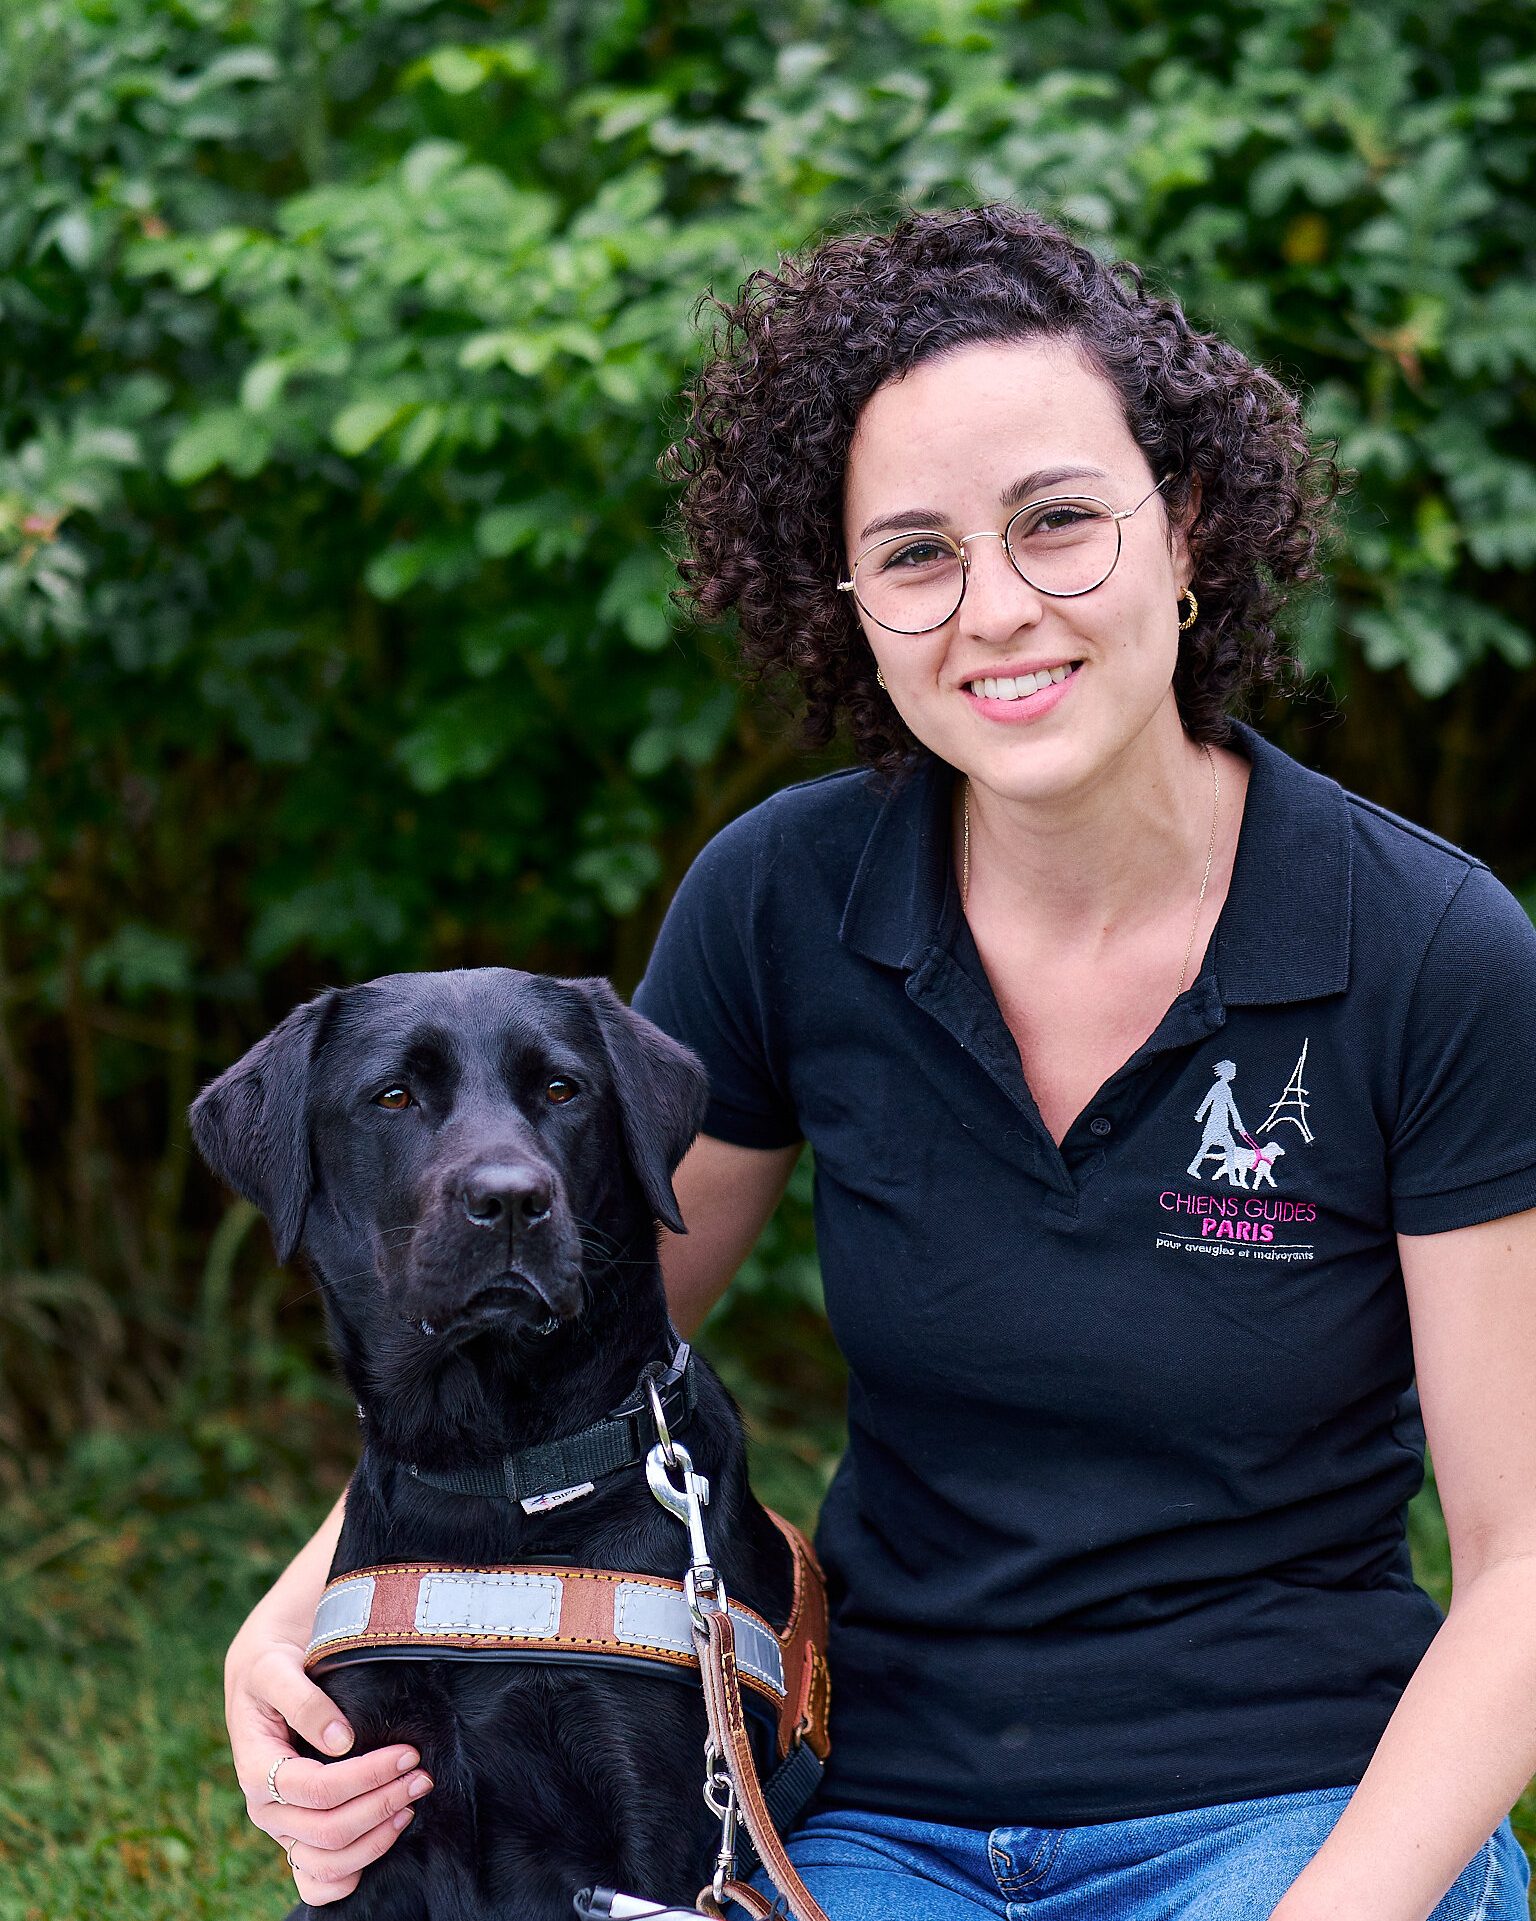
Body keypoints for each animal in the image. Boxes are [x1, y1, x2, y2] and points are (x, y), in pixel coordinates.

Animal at [187, 975, 798, 1921]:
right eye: (393, 1096)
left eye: (561, 1088)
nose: (511, 1198)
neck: (497, 1469)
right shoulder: (370, 1805)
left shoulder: (653, 1825)